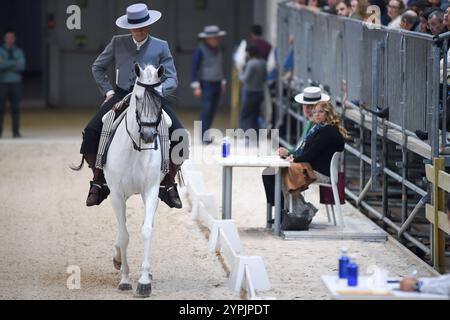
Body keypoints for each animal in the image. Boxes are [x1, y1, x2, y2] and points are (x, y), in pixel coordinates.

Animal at [105, 63, 171, 298]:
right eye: (138, 97)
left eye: (161, 99)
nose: (149, 136)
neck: (135, 148)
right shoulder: (116, 194)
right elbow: (124, 235)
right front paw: (125, 279)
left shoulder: (151, 190)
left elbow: (146, 230)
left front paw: (144, 282)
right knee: (120, 228)